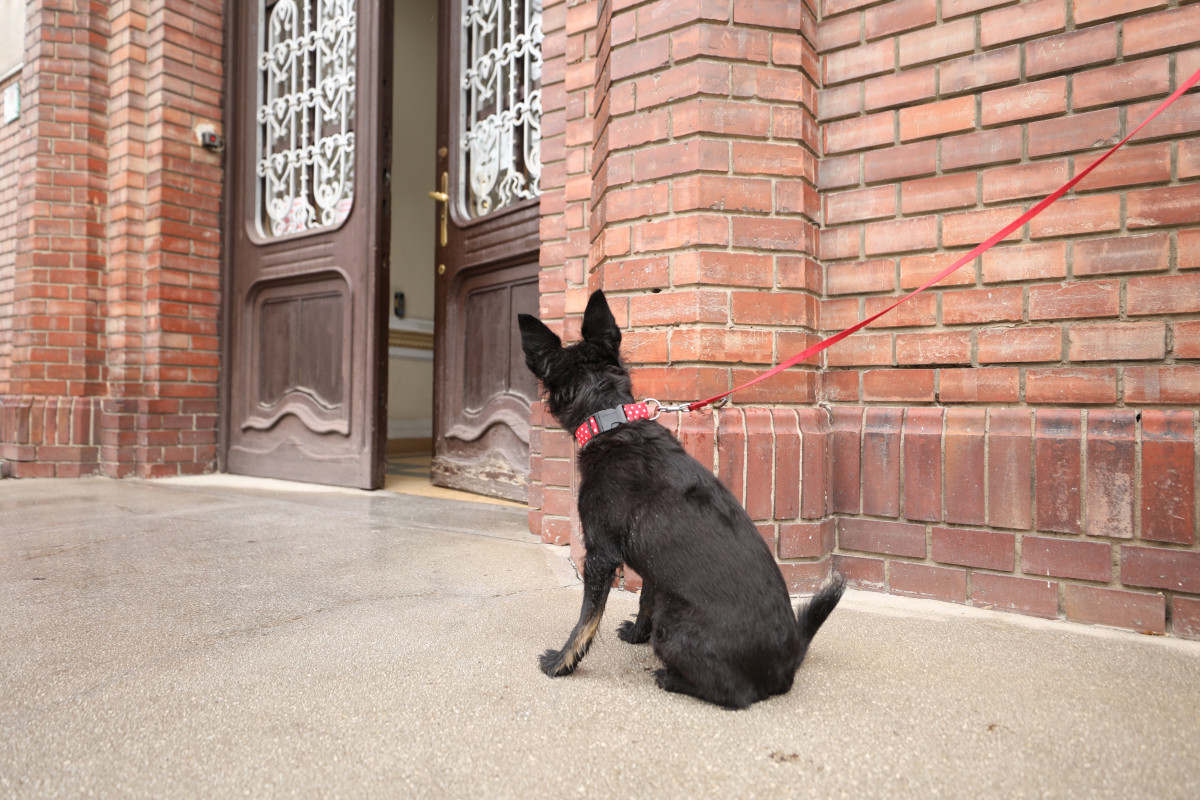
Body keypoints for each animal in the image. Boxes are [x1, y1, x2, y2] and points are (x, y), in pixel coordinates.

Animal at [518, 289, 845, 709]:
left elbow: (586, 619)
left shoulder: (600, 556)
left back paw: (669, 677)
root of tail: (785, 668)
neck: (612, 422)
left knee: (736, 694)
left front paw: (561, 662)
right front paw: (635, 635)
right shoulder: (651, 567)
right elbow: (645, 598)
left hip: (673, 628)